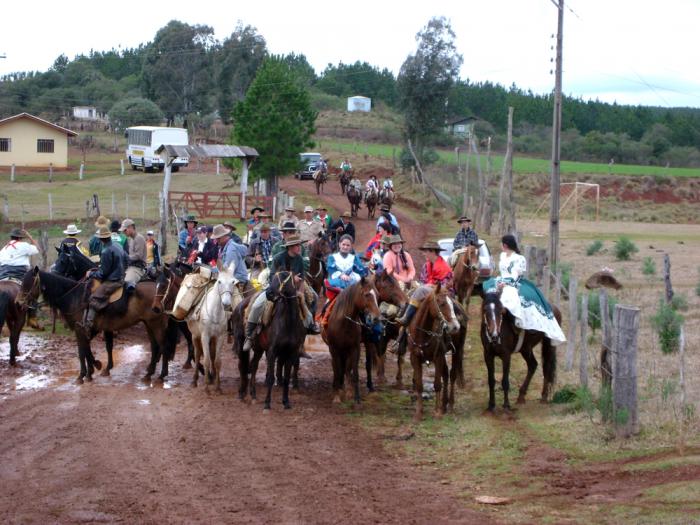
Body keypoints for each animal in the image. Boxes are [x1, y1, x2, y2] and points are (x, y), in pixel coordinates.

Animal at [19, 268, 178, 382]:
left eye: (28, 283)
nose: (19, 302)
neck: (73, 296)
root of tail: (162, 297)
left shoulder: (80, 329)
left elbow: (82, 351)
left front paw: (83, 375)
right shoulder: (89, 329)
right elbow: (88, 349)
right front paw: (93, 369)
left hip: (156, 324)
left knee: (163, 346)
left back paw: (161, 375)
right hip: (148, 324)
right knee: (155, 347)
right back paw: (149, 374)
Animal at [322, 276, 382, 408]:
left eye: (377, 295)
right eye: (366, 294)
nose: (376, 318)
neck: (344, 321)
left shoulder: (355, 348)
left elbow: (354, 372)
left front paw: (356, 398)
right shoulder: (334, 349)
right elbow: (337, 371)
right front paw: (336, 397)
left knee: (348, 368)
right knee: (339, 369)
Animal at [404, 284, 464, 420]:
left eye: (451, 304)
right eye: (441, 303)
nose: (455, 326)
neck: (422, 332)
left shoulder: (438, 356)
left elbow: (437, 384)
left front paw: (437, 412)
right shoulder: (414, 358)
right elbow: (419, 385)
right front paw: (419, 413)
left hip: (458, 350)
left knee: (452, 375)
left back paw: (450, 405)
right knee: (446, 374)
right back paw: (444, 405)